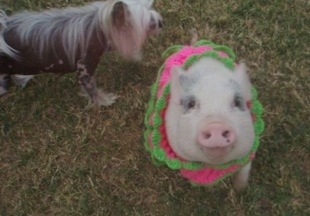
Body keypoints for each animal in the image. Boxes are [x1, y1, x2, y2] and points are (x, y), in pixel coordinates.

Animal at [0, 0, 163, 106]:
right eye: (150, 22)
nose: (162, 23)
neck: (98, 28)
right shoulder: (85, 69)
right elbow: (92, 89)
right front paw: (105, 101)